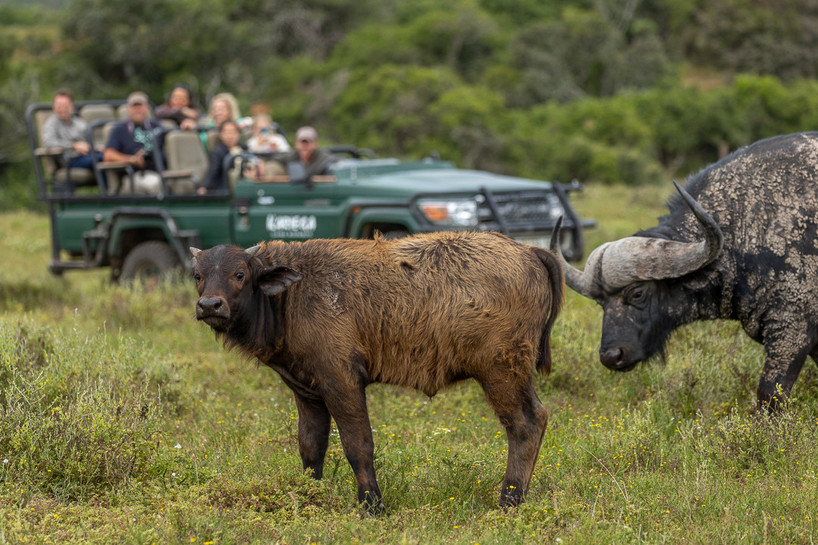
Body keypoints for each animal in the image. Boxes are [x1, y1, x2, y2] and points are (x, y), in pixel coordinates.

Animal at [190, 232, 560, 512]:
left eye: (240, 273)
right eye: (197, 276)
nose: (210, 306)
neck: (293, 294)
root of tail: (529, 251)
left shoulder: (342, 383)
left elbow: (358, 445)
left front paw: (372, 505)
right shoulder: (307, 392)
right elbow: (311, 446)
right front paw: (311, 496)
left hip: (501, 373)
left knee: (524, 425)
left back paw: (509, 500)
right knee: (538, 418)